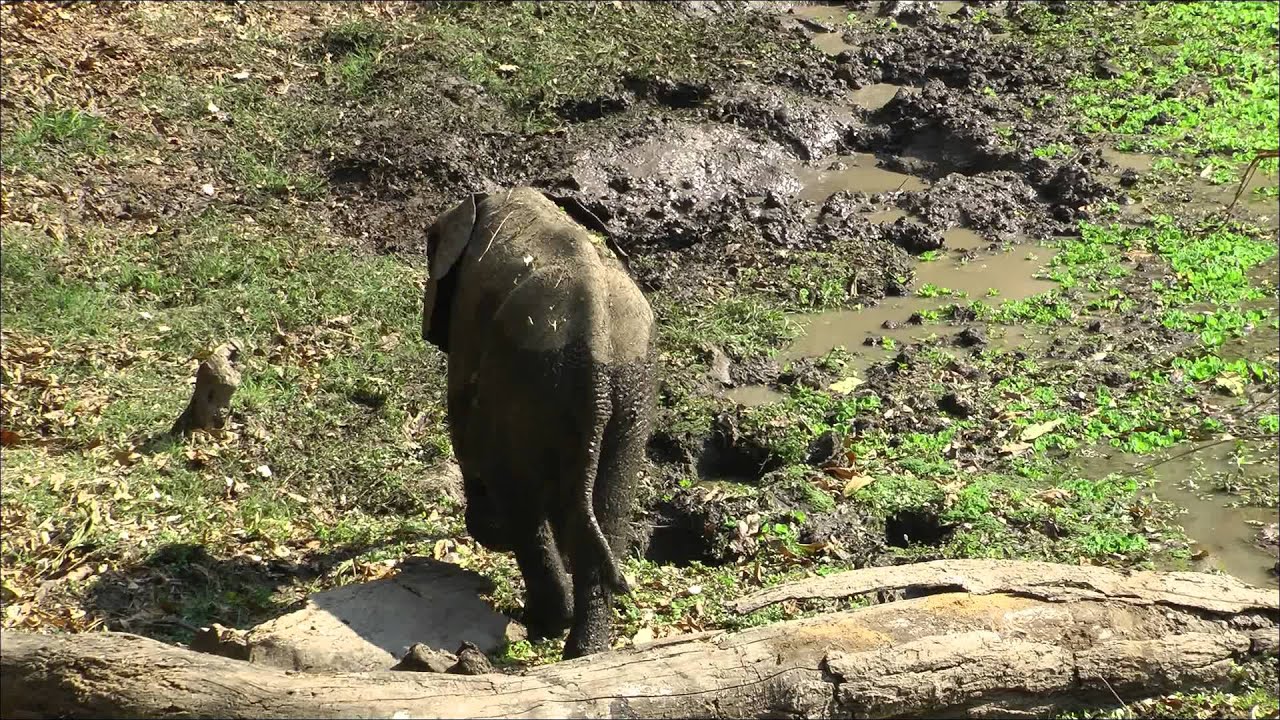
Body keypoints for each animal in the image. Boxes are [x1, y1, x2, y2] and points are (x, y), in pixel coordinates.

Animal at [421, 187, 657, 659]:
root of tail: (595, 336)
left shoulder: (469, 313)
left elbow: (461, 417)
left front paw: (487, 534)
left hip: (527, 379)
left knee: (519, 494)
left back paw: (545, 622)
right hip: (629, 393)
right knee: (610, 511)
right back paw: (585, 652)